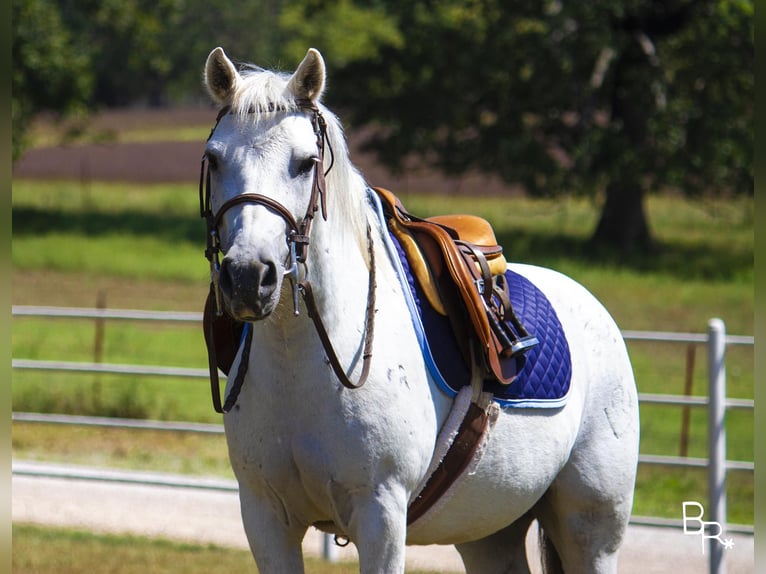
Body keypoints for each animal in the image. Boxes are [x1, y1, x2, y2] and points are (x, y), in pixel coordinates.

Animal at [201, 46, 640, 574]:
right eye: (214, 159)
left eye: (305, 163)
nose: (249, 277)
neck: (304, 364)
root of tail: (590, 306)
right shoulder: (266, 517)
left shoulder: (382, 517)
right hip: (489, 531)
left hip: (590, 530)